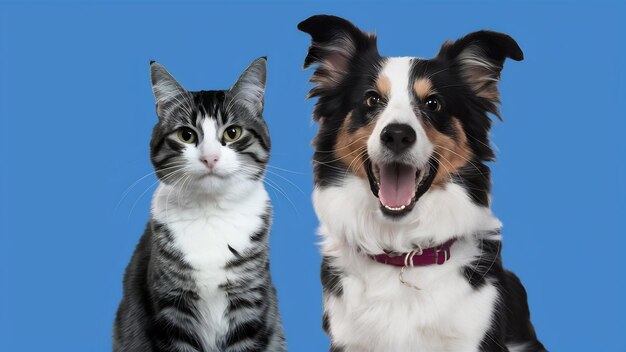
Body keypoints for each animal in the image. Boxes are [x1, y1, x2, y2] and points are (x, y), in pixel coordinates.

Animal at [112, 58, 286, 352]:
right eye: (186, 135)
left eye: (232, 132)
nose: (210, 158)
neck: (210, 213)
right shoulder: (171, 309)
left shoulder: (249, 304)